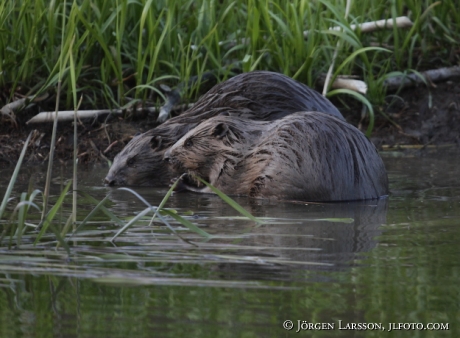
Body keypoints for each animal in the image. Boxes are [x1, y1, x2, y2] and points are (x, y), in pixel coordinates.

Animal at [164, 112, 390, 202]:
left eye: (189, 142)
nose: (166, 156)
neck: (242, 148)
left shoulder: (232, 169)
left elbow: (218, 190)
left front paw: (178, 182)